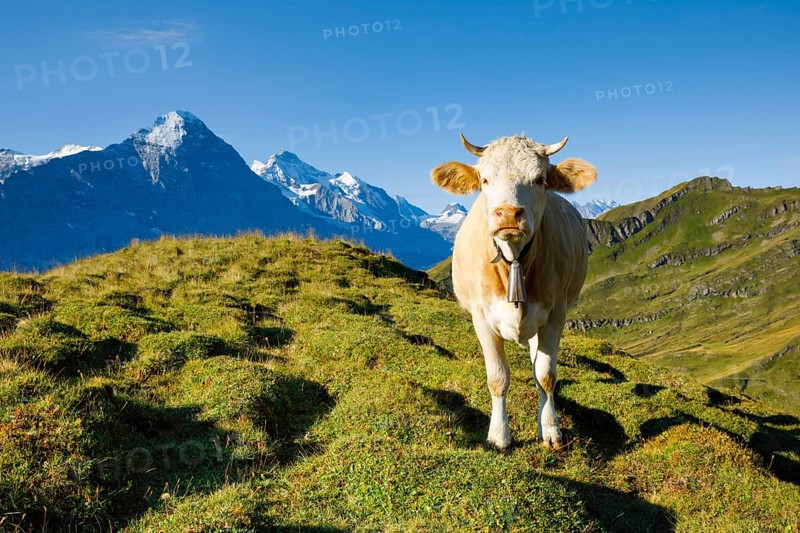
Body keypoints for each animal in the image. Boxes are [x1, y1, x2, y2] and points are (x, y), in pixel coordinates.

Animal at [430, 133, 597, 450]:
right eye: (484, 179)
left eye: (540, 179)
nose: (508, 213)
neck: (515, 260)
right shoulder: (482, 319)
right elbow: (497, 378)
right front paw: (499, 436)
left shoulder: (555, 315)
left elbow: (546, 375)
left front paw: (551, 430)